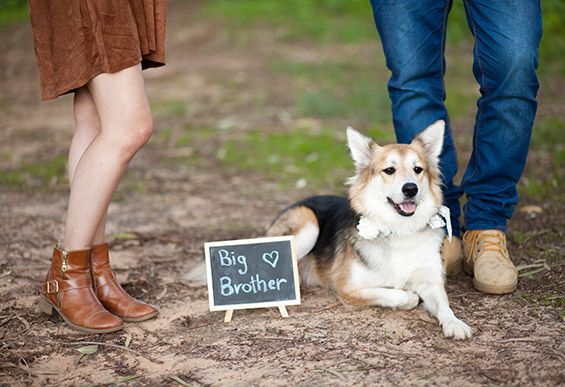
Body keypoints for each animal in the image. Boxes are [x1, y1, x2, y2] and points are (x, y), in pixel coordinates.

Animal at [266, 121, 470, 340]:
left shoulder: (430, 282)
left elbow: (444, 305)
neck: (399, 230)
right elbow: (394, 294)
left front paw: (455, 323)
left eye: (418, 169)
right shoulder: (348, 287)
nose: (410, 189)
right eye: (389, 170)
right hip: (309, 224)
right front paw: (409, 297)